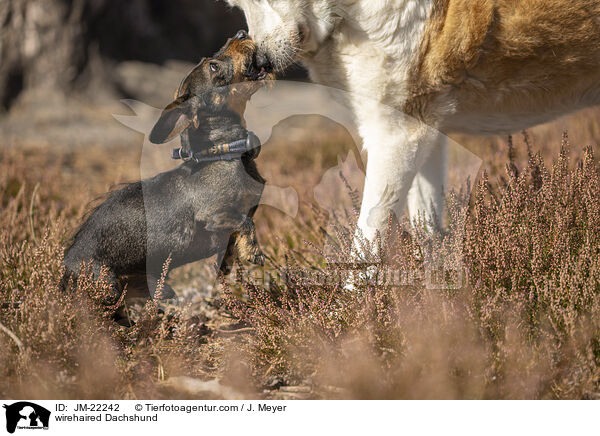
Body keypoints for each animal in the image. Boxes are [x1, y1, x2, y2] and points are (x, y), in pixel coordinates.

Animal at [62, 31, 274, 304]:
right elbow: (245, 222)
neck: (222, 153)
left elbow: (227, 258)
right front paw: (254, 252)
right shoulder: (215, 214)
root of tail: (66, 267)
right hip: (107, 289)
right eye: (213, 67)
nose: (240, 33)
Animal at [227, 0, 600, 244]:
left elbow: (365, 247)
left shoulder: (396, 138)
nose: (258, 63)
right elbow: (428, 232)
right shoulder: (425, 136)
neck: (347, 9)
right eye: (238, 4)